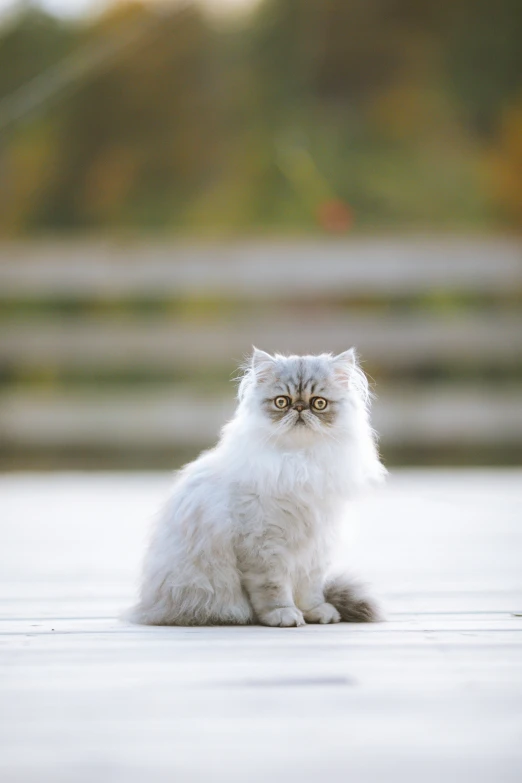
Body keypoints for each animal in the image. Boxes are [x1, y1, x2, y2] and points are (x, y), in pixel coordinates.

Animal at [128, 350, 384, 632]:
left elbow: (310, 590)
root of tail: (146, 607)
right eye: (282, 402)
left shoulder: (315, 547)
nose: (299, 408)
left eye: (319, 403)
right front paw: (284, 615)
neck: (300, 462)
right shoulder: (263, 545)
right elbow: (274, 590)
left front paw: (316, 613)